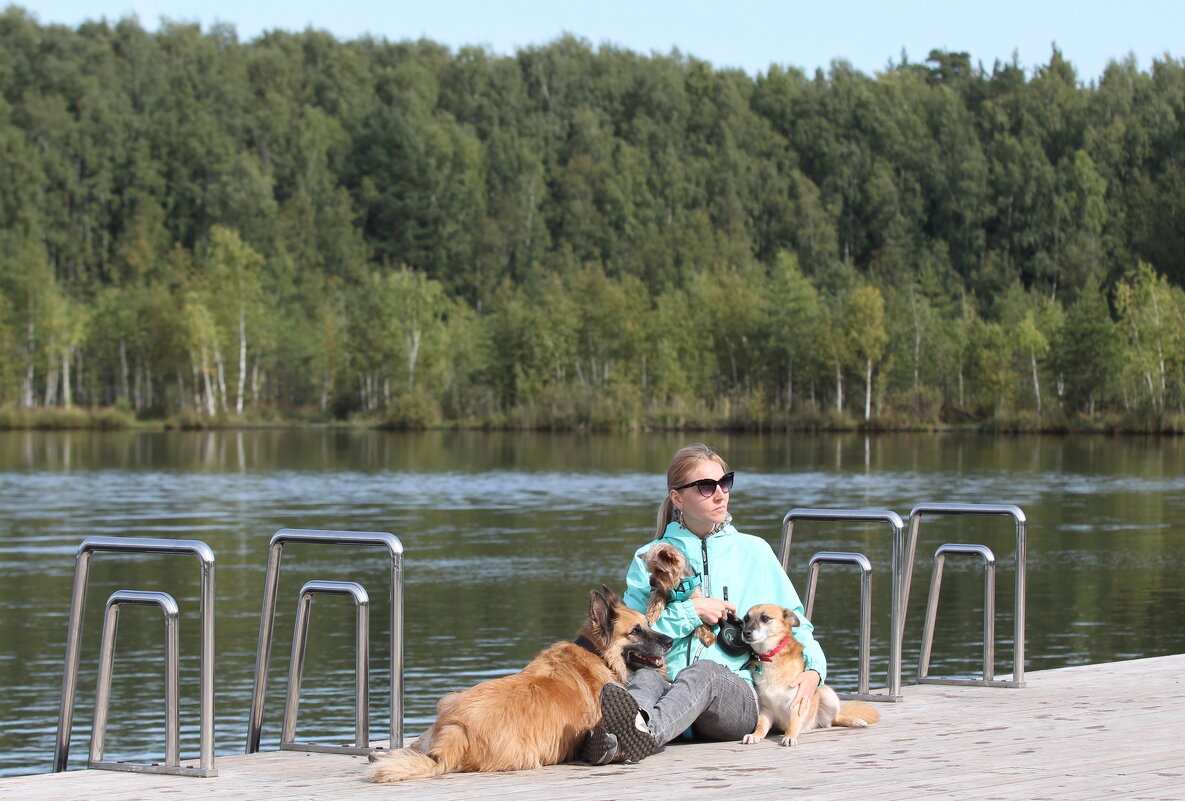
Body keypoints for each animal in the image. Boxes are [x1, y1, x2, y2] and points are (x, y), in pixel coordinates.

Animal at [364, 587, 673, 782]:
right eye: (636, 631)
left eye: (648, 624)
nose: (670, 641)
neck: (597, 653)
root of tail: (457, 728)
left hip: (448, 699)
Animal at [739, 604, 881, 748]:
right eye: (746, 618)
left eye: (765, 618)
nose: (746, 633)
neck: (770, 658)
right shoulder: (765, 710)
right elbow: (761, 726)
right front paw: (755, 735)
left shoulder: (797, 704)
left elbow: (793, 725)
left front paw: (789, 737)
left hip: (827, 694)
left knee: (836, 719)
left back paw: (856, 721)